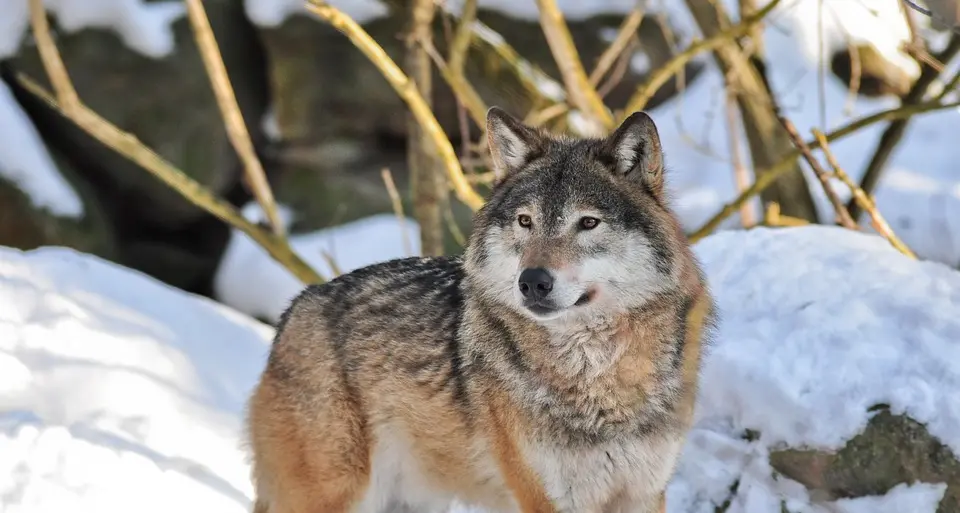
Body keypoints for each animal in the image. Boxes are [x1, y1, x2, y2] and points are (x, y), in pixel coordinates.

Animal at [245, 106, 716, 513]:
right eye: (525, 221)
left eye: (587, 223)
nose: (532, 281)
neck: (598, 382)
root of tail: (297, 307)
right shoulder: (545, 499)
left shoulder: (644, 495)